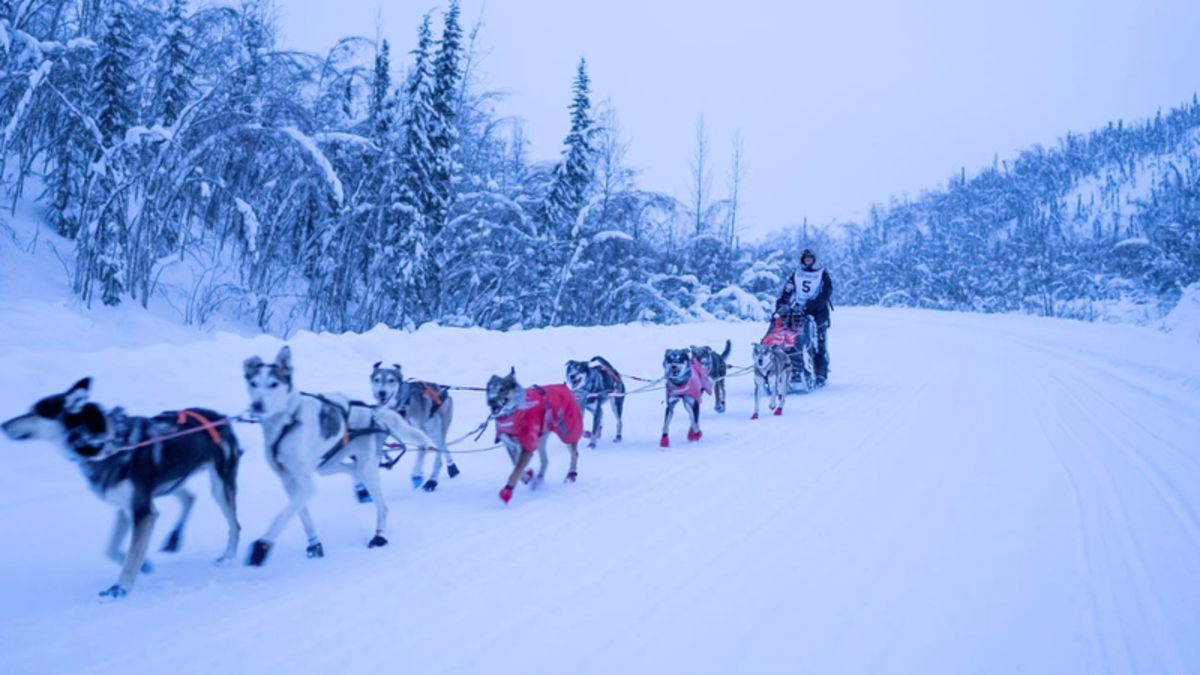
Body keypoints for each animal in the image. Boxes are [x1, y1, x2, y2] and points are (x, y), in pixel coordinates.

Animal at [0, 374, 243, 595]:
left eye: (36, 411)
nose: (3, 425)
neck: (107, 443)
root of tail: (223, 417)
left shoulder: (142, 511)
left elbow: (130, 554)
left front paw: (120, 588)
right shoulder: (126, 508)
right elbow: (112, 549)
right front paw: (144, 565)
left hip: (219, 487)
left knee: (234, 525)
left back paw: (228, 556)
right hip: (169, 483)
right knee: (189, 497)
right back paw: (174, 538)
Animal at [241, 345, 439, 562]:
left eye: (273, 383)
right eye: (253, 383)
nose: (257, 405)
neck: (287, 423)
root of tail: (373, 411)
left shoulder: (305, 485)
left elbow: (282, 516)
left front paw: (262, 546)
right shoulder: (289, 481)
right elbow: (301, 515)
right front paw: (314, 543)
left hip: (362, 466)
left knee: (382, 506)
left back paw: (379, 535)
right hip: (328, 464)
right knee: (353, 469)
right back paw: (361, 489)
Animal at [367, 360, 456, 492]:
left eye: (391, 380)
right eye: (376, 379)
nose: (381, 393)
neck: (401, 405)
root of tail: (444, 390)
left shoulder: (419, 430)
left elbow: (421, 451)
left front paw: (416, 474)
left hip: (436, 429)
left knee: (438, 455)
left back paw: (432, 480)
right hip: (432, 431)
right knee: (442, 445)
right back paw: (452, 467)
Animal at [484, 369, 583, 502]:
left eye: (502, 389)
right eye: (489, 389)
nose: (490, 400)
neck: (512, 413)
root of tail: (564, 386)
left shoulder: (527, 446)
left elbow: (516, 470)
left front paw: (507, 490)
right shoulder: (510, 445)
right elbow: (516, 465)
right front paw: (527, 476)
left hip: (568, 432)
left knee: (574, 454)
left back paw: (571, 474)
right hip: (541, 439)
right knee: (545, 460)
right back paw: (539, 479)